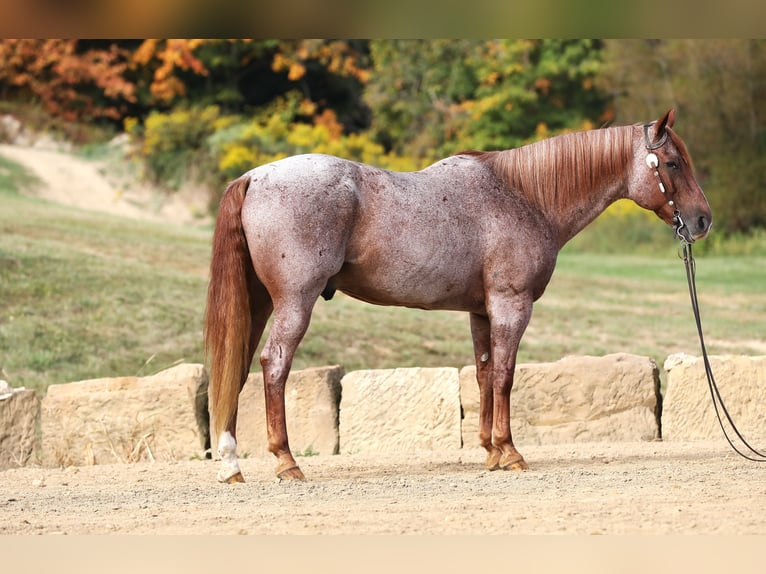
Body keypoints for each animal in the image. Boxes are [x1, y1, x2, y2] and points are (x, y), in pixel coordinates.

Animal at [204, 110, 712, 484]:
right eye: (673, 163)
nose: (703, 220)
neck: (524, 196)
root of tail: (255, 177)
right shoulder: (511, 305)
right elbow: (505, 375)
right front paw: (510, 453)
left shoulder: (481, 312)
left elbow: (485, 374)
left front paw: (490, 451)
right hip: (294, 302)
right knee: (274, 365)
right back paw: (286, 462)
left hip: (260, 303)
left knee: (240, 366)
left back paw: (231, 463)